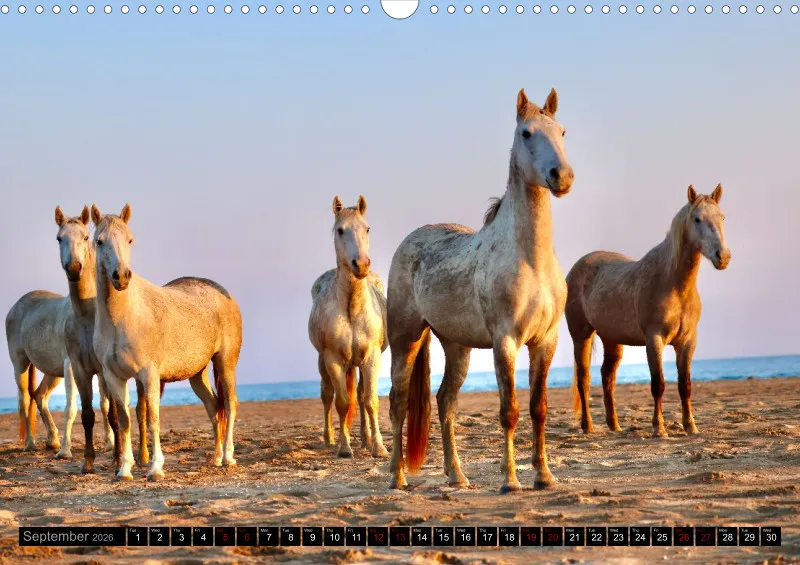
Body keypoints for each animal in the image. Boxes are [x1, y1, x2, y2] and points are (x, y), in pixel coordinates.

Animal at [91, 204, 242, 480]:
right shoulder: (114, 377)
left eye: (130, 240)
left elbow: (153, 419)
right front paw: (125, 469)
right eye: (99, 241)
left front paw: (156, 468)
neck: (124, 316)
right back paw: (215, 458)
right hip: (198, 374)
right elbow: (124, 420)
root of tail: (222, 292)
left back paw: (228, 457)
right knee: (213, 407)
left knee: (229, 404)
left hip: (225, 363)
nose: (121, 276)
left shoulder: (149, 375)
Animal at [308, 195, 389, 459]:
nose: (361, 264)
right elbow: (342, 402)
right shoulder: (333, 359)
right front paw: (344, 448)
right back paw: (329, 439)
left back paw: (365, 439)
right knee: (327, 395)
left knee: (362, 396)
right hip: (323, 362)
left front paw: (379, 447)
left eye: (367, 228)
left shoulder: (372, 357)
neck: (352, 309)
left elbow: (370, 400)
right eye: (340, 230)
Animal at [386, 87, 574, 492]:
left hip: (457, 346)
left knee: (445, 401)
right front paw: (510, 481)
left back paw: (457, 475)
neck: (530, 259)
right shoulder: (506, 341)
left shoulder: (545, 341)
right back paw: (396, 477)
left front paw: (544, 476)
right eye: (526, 133)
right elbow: (509, 412)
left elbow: (538, 409)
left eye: (562, 131)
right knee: (397, 401)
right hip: (405, 339)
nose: (562, 177)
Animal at [565, 185, 730, 438]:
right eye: (697, 219)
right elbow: (658, 384)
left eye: (721, 217)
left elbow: (685, 385)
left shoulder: (688, 342)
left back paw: (614, 425)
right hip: (581, 336)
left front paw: (691, 426)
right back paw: (588, 426)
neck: (673, 284)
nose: (723, 256)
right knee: (584, 379)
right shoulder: (654, 339)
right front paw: (659, 429)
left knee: (607, 377)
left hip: (612, 341)